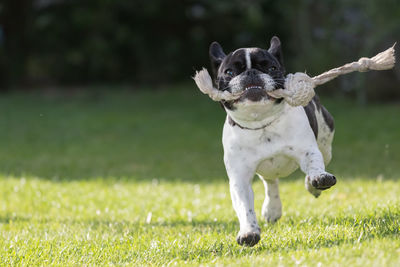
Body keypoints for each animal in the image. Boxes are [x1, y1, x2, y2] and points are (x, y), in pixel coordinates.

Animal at [208, 36, 336, 248]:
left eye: (272, 68)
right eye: (229, 72)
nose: (251, 72)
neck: (262, 123)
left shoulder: (307, 151)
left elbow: (314, 164)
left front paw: (318, 178)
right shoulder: (240, 178)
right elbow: (244, 206)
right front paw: (249, 232)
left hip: (326, 144)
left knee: (319, 162)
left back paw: (312, 185)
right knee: (271, 183)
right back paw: (272, 209)